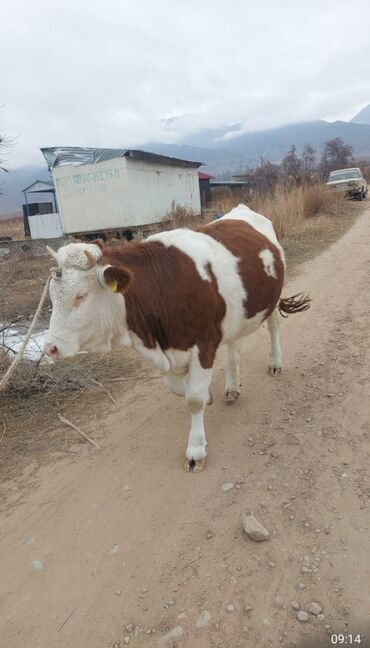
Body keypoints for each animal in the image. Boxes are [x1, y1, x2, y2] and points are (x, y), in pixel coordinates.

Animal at [43, 202, 310, 470]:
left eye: (81, 295)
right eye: (52, 296)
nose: (50, 348)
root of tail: (242, 209)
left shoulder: (204, 343)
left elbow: (194, 399)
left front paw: (196, 450)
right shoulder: (170, 349)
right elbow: (175, 387)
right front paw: (209, 396)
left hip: (272, 299)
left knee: (274, 326)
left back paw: (275, 363)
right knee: (234, 344)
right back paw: (232, 386)